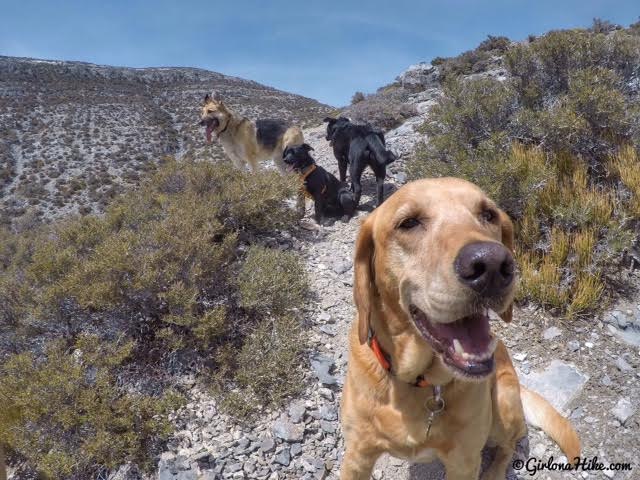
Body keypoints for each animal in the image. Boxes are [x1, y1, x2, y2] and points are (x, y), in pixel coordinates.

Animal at [340, 178, 580, 478]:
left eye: (488, 215)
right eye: (409, 223)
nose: (492, 264)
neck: (420, 383)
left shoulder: (464, 462)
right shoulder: (357, 456)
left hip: (501, 408)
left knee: (511, 442)